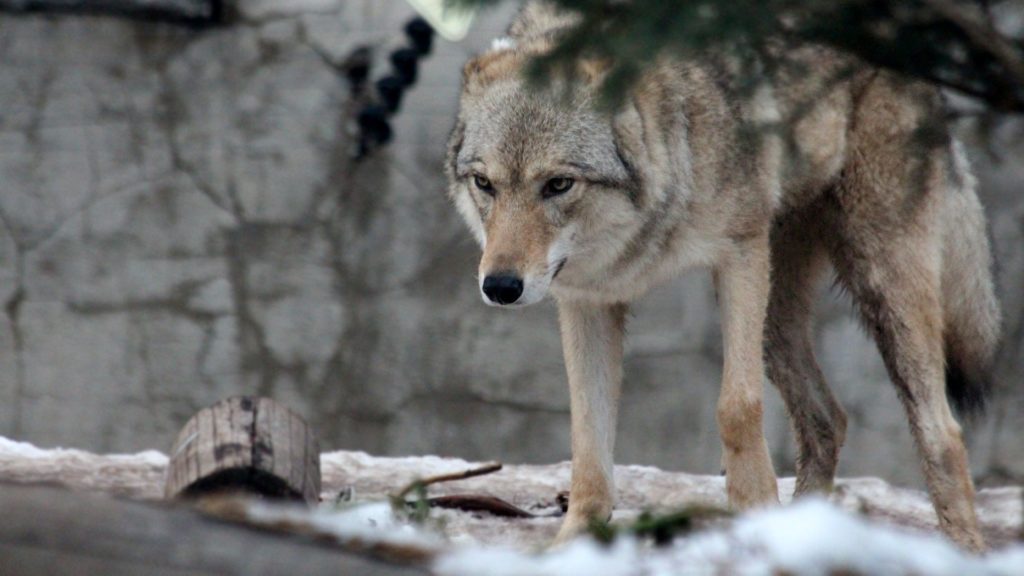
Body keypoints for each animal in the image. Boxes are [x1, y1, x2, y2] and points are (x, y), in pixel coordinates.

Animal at [442, 1, 999, 553]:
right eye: (485, 184)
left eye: (558, 184)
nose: (500, 287)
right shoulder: (588, 298)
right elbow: (588, 438)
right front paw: (575, 543)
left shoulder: (739, 255)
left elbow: (737, 408)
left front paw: (755, 515)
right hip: (778, 319)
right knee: (828, 419)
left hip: (879, 280)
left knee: (943, 432)